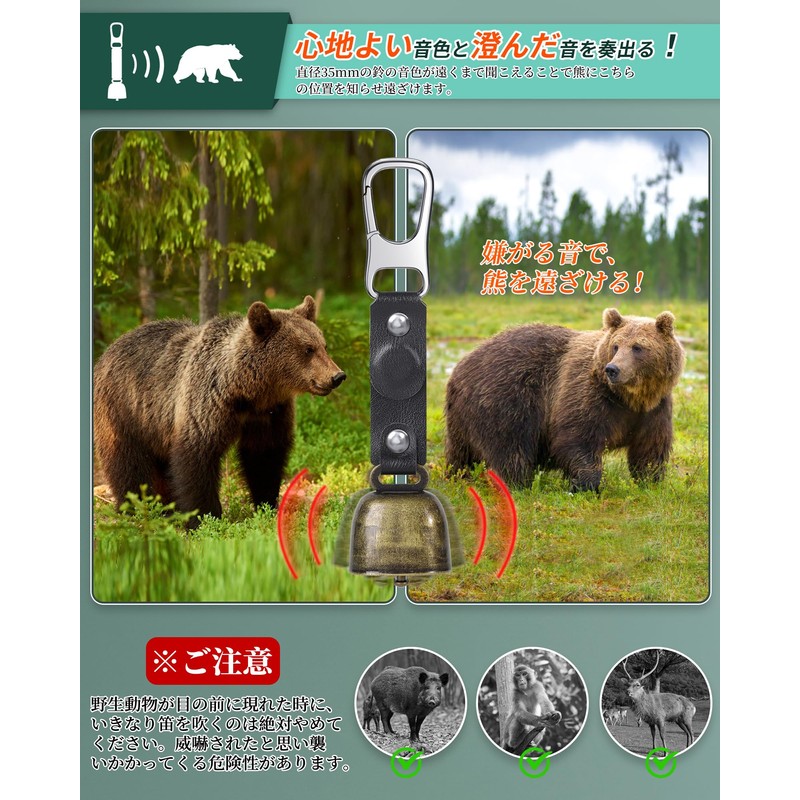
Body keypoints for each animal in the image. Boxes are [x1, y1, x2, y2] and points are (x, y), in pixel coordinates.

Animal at [93, 296, 345, 527]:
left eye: (323, 345)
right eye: (307, 349)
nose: (337, 376)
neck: (247, 392)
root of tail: (108, 350)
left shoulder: (268, 414)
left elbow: (264, 457)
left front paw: (266, 504)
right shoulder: (206, 405)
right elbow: (197, 458)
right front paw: (205, 517)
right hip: (124, 411)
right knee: (128, 463)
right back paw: (137, 508)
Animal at [444, 308, 685, 492]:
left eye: (638, 347)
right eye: (616, 346)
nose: (613, 369)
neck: (629, 397)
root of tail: (459, 368)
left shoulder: (653, 410)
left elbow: (649, 448)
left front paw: (650, 482)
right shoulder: (587, 395)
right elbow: (577, 438)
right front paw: (586, 485)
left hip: (463, 418)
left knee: (460, 453)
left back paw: (457, 476)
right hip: (505, 400)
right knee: (510, 448)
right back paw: (517, 485)